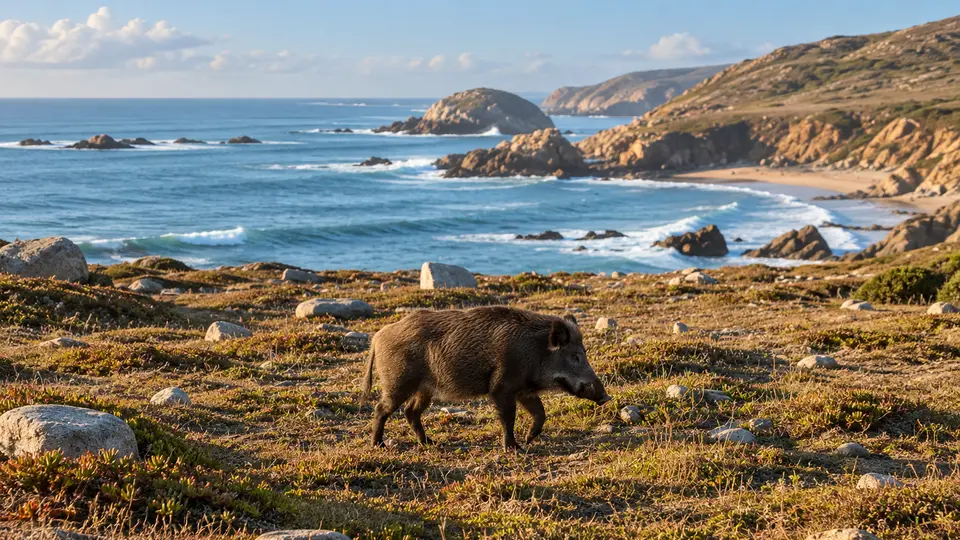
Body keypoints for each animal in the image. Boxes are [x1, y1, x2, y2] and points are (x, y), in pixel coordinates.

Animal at [361, 306, 611, 450]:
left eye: (584, 352)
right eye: (575, 356)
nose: (606, 397)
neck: (535, 350)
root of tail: (378, 337)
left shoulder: (524, 390)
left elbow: (540, 413)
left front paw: (529, 439)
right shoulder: (501, 387)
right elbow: (508, 418)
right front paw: (514, 448)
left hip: (426, 389)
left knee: (411, 411)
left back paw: (429, 443)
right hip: (398, 382)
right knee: (382, 409)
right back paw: (378, 445)